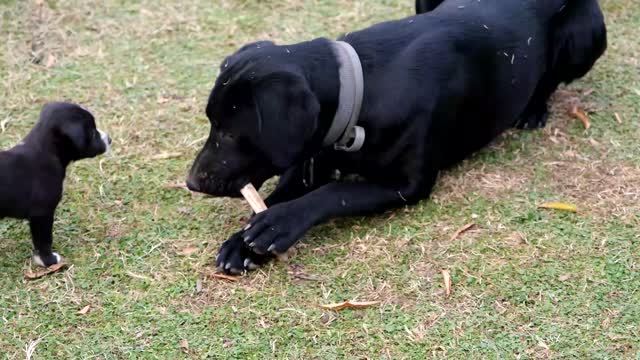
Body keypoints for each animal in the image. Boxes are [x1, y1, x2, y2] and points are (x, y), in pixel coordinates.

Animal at [0, 102, 111, 266]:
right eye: (91, 133)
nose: (109, 139)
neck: (46, 149)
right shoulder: (42, 213)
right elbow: (44, 241)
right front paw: (49, 261)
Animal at [189, 0, 604, 274]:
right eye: (211, 124)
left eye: (230, 132)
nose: (190, 183)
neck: (359, 92)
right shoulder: (311, 159)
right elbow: (276, 196)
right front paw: (242, 242)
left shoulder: (408, 184)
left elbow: (334, 192)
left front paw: (279, 223)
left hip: (586, 34)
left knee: (552, 78)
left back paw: (534, 108)